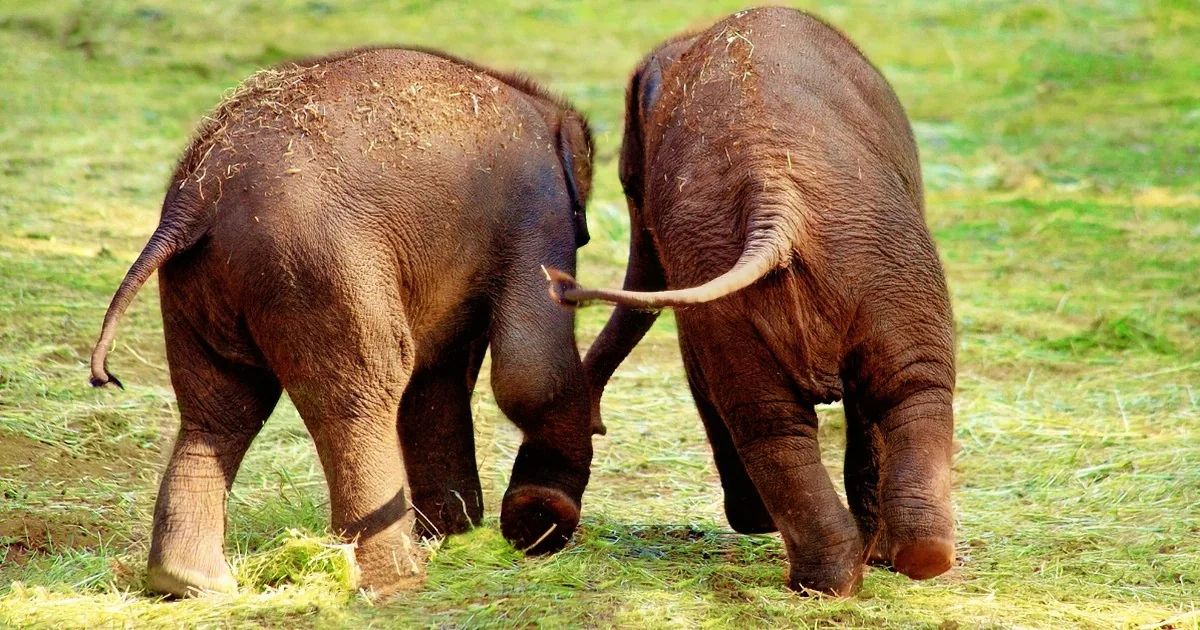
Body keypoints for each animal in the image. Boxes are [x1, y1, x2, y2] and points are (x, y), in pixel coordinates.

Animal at [90, 46, 596, 597]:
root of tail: (196, 197)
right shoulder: (539, 211)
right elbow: (529, 373)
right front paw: (536, 525)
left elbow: (435, 378)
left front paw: (457, 533)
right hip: (318, 265)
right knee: (364, 394)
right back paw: (397, 581)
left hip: (203, 285)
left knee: (220, 408)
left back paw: (192, 583)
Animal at [549, 8, 956, 595]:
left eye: (627, 185)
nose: (596, 424)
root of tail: (776, 201)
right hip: (848, 271)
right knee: (825, 410)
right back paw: (855, 573)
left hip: (873, 266)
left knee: (847, 404)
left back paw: (878, 565)